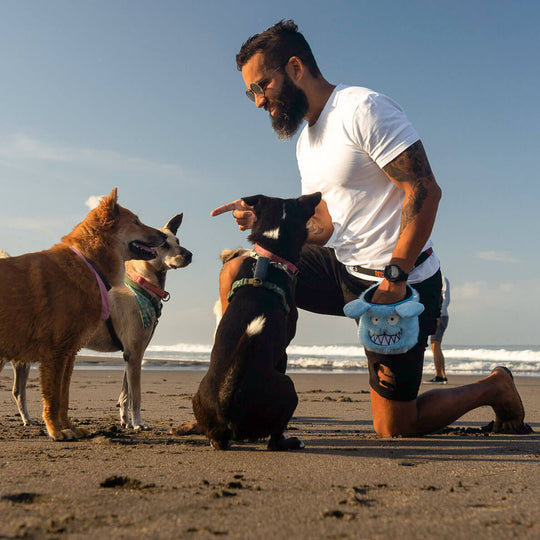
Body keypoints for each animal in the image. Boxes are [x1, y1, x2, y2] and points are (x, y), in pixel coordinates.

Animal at [0, 188, 166, 440]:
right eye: (136, 221)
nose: (164, 236)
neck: (88, 263)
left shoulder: (69, 353)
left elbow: (63, 398)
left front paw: (69, 426)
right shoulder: (56, 353)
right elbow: (52, 398)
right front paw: (56, 431)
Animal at [193, 192, 320, 450]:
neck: (269, 259)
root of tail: (227, 401)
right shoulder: (283, 352)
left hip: (198, 400)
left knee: (216, 440)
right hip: (288, 388)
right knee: (274, 440)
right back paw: (290, 441)